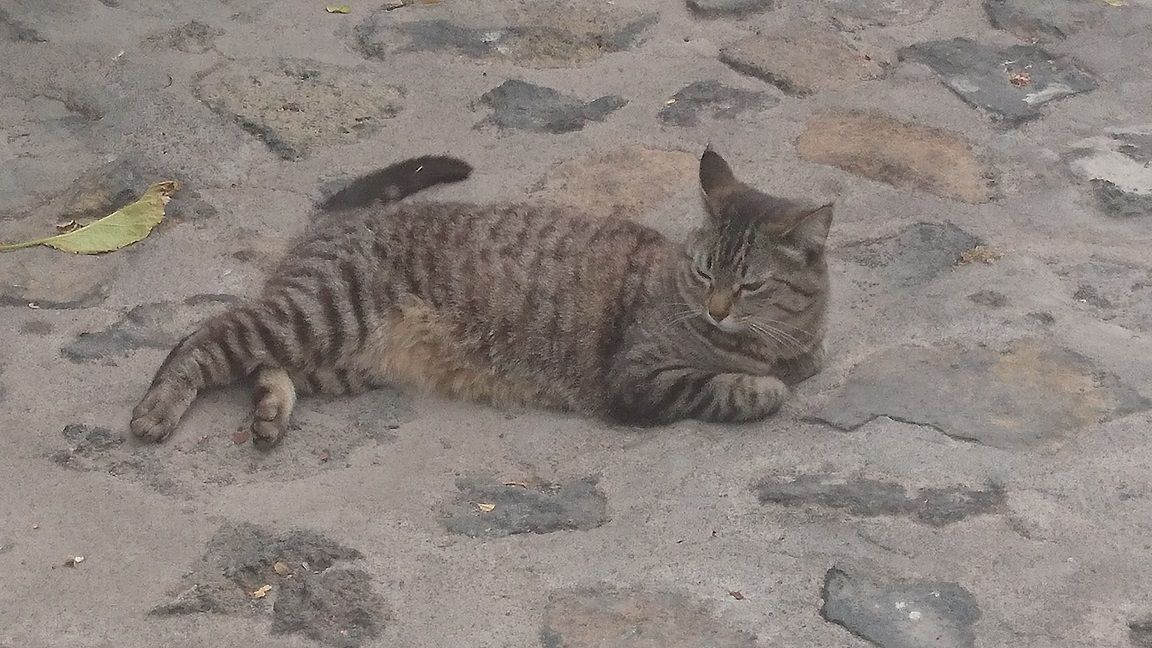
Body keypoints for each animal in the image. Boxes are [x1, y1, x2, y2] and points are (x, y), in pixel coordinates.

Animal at [131, 149, 832, 447]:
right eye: (705, 271)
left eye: (749, 283)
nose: (717, 308)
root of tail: (339, 217)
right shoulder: (638, 380)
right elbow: (726, 388)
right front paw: (762, 387)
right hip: (319, 312)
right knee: (203, 337)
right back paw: (155, 411)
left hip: (337, 356)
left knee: (261, 366)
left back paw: (271, 414)